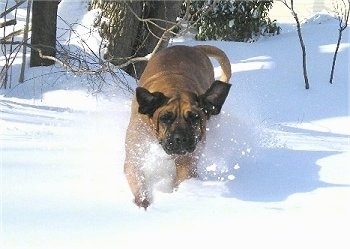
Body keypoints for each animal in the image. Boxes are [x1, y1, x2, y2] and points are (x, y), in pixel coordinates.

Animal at [124, 45, 231, 210]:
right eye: (165, 118)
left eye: (194, 117)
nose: (180, 138)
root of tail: (192, 47)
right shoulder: (135, 152)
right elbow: (138, 179)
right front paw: (143, 203)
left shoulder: (187, 159)